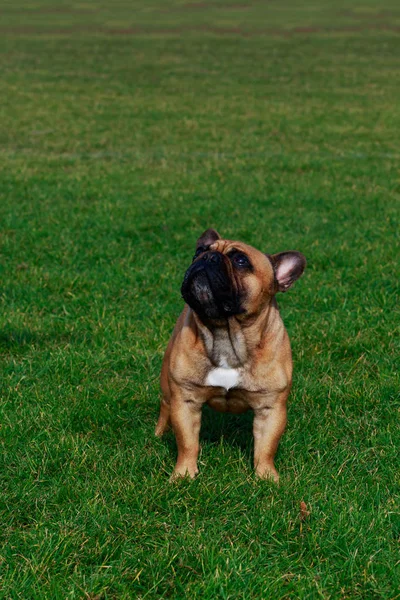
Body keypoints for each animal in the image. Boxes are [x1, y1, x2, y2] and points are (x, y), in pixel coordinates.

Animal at [155, 227, 304, 480]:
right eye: (199, 251)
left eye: (241, 260)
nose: (207, 257)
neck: (225, 333)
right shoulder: (185, 400)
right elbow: (187, 443)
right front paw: (183, 475)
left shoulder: (270, 408)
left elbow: (266, 447)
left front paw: (266, 477)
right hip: (168, 384)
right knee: (165, 405)